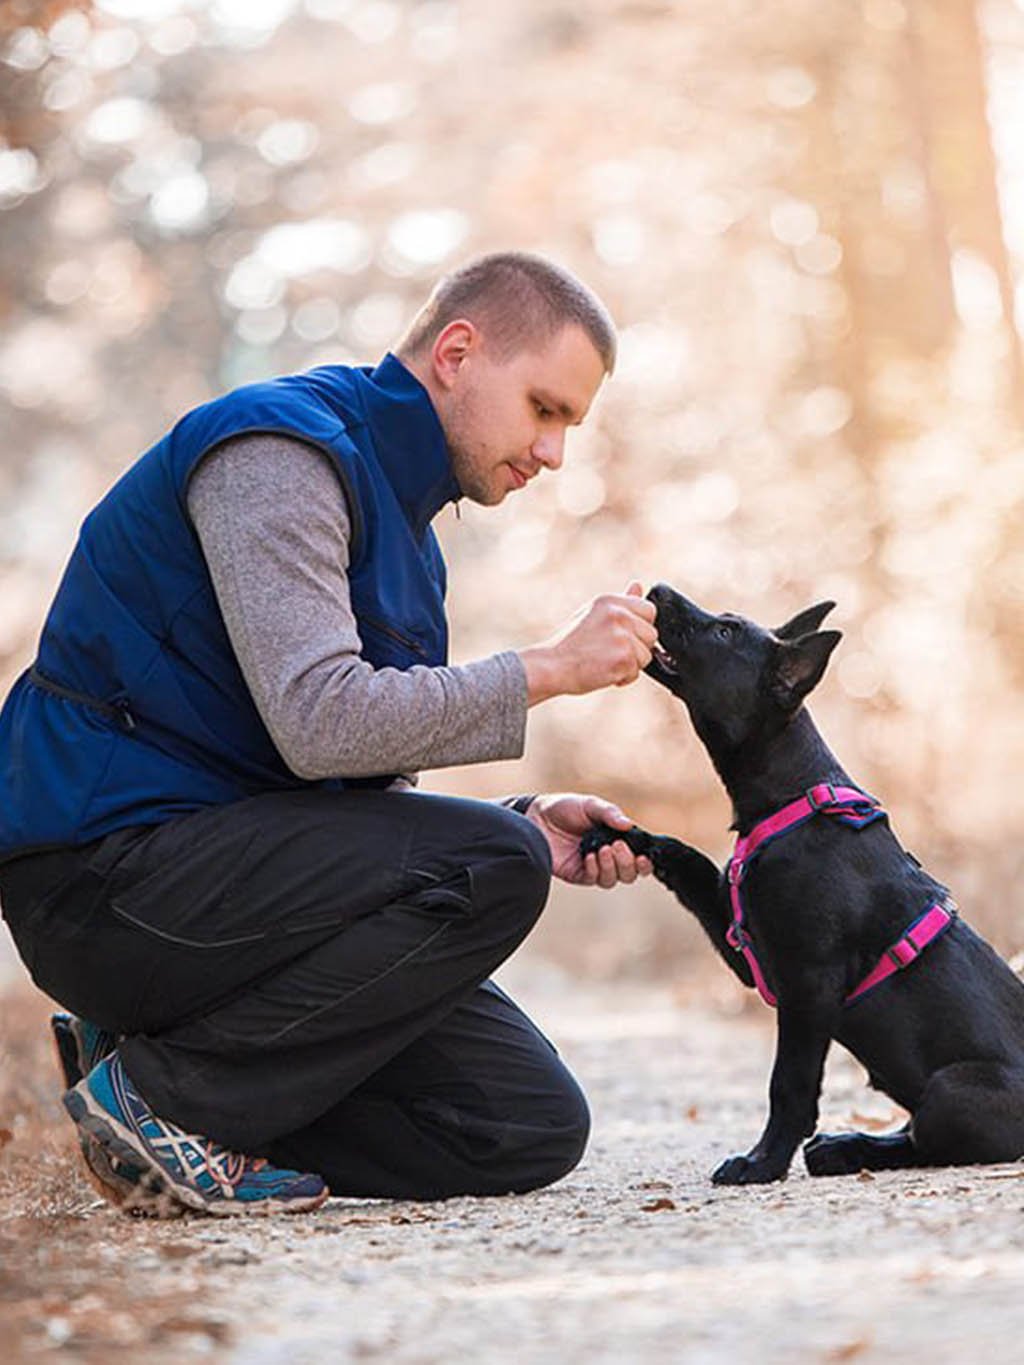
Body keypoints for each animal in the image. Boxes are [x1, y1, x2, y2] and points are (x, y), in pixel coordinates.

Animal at [581, 586, 1024, 1184]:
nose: (656, 591)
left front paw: (761, 1162)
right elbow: (688, 858)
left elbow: (788, 1084)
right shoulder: (752, 952)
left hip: (952, 1090)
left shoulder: (808, 982)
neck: (792, 795)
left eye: (724, 632)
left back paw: (848, 1148)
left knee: (929, 1139)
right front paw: (616, 835)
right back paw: (843, 1146)